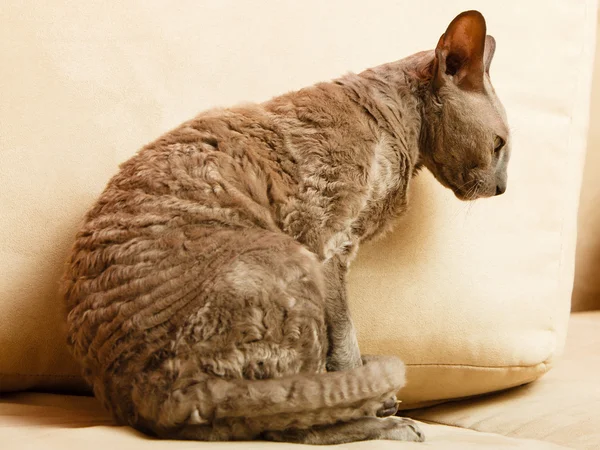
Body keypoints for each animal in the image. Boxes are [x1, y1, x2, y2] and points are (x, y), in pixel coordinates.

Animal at [62, 10, 510, 446]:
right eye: (500, 144)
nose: (503, 188)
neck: (402, 135)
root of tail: (148, 398)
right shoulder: (328, 244)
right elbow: (344, 341)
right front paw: (373, 398)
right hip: (284, 262)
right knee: (290, 420)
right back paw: (391, 425)